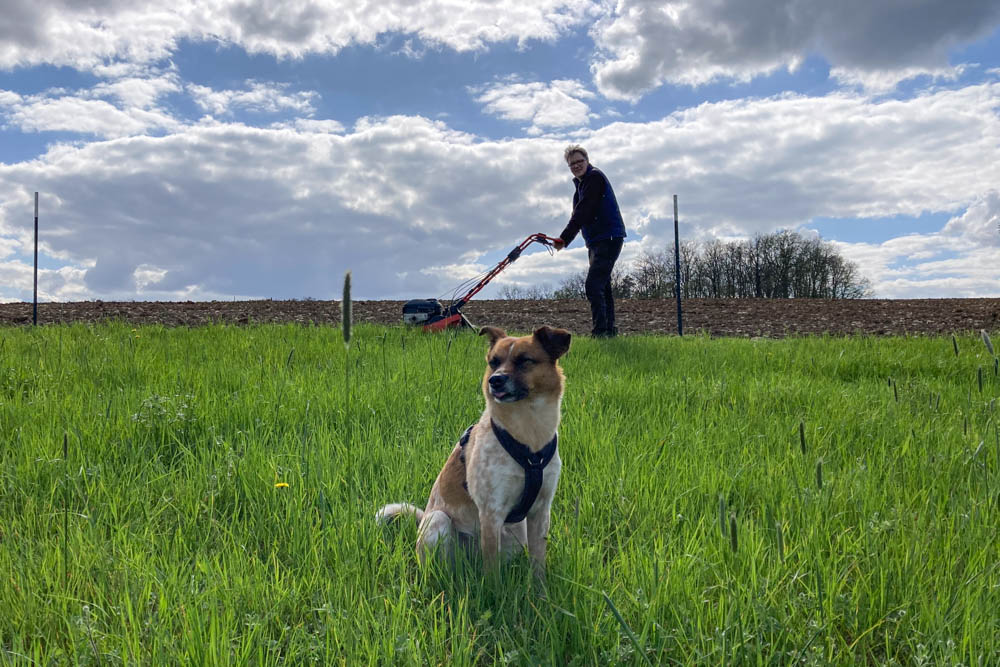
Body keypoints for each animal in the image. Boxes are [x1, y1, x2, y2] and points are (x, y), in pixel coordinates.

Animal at [376, 326, 572, 576]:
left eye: (524, 360)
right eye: (493, 362)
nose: (495, 380)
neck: (528, 434)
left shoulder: (541, 511)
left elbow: (538, 566)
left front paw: (539, 588)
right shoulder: (491, 512)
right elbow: (492, 573)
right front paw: (493, 587)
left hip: (519, 534)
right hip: (438, 521)